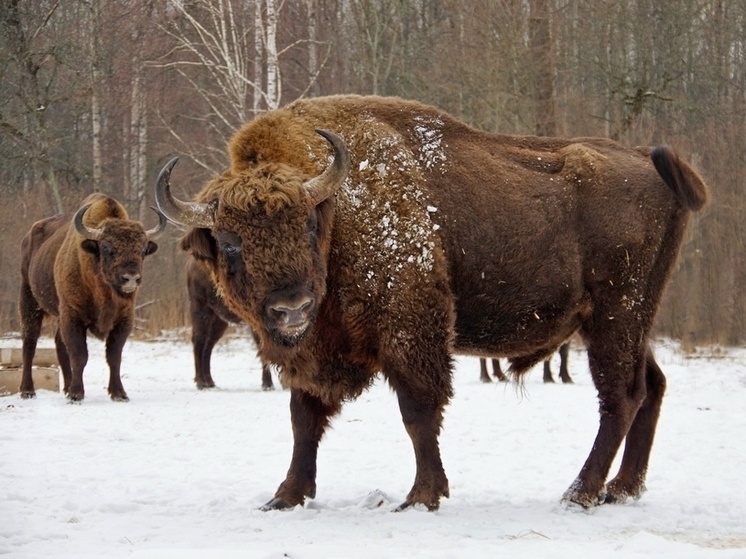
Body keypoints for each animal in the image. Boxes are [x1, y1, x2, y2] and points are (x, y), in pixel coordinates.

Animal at [18, 194, 166, 402]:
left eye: (143, 249)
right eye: (106, 248)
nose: (131, 278)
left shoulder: (124, 319)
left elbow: (114, 356)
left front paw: (119, 393)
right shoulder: (73, 316)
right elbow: (80, 355)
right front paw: (76, 394)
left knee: (59, 345)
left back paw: (66, 387)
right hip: (29, 300)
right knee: (29, 343)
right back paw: (28, 391)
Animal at [186, 254, 276, 390]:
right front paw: (267, 384)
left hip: (219, 320)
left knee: (208, 345)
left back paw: (209, 382)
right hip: (201, 308)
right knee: (199, 340)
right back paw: (201, 382)